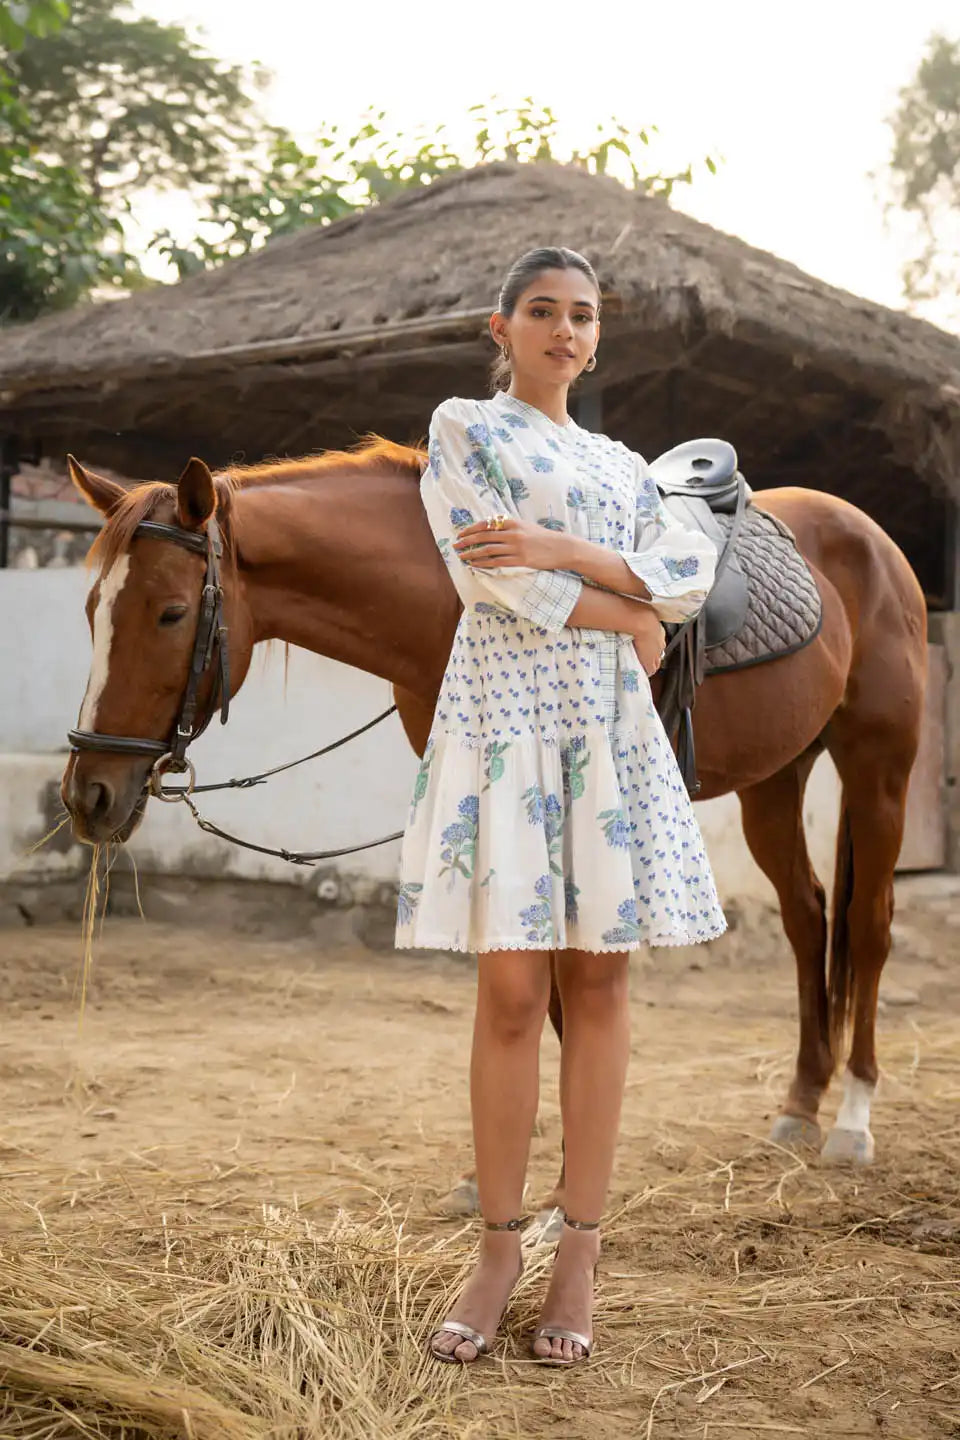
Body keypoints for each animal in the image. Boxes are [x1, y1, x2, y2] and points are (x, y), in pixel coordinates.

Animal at [61, 443, 932, 1186]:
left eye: (172, 613)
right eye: (91, 610)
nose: (88, 794)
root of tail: (872, 540)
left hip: (879, 769)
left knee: (868, 925)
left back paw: (853, 1119)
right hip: (775, 781)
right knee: (809, 919)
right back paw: (800, 1106)